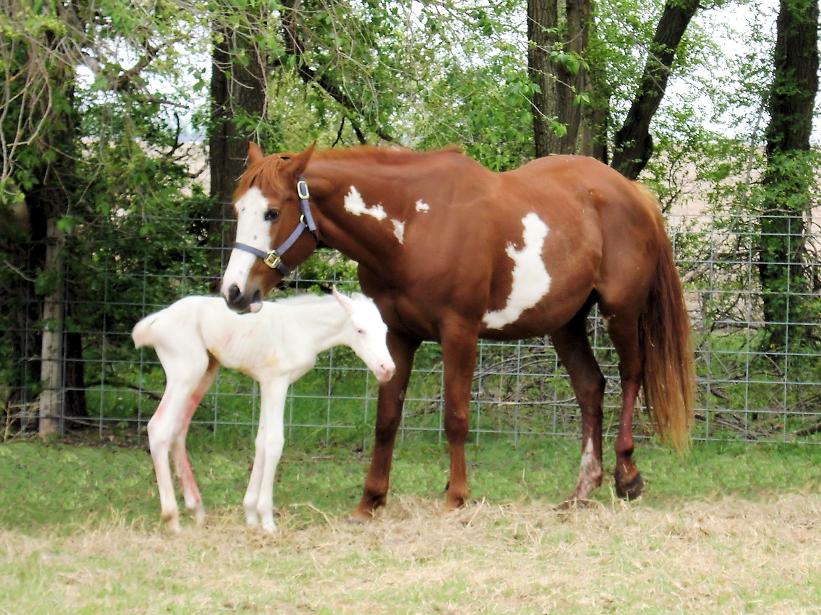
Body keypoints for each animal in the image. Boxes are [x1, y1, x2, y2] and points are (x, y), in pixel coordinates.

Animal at [132, 289, 396, 532]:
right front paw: (267, 520)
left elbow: (261, 441)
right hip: (185, 373)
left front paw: (251, 515)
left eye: (384, 330)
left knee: (178, 429)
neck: (302, 328)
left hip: (206, 372)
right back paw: (172, 519)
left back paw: (196, 509)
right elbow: (274, 442)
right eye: (360, 330)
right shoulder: (278, 381)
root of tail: (156, 321)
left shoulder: (266, 382)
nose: (387, 369)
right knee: (159, 427)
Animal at [219, 143, 695, 518]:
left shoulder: (459, 332)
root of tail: (632, 192)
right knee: (590, 389)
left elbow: (456, 417)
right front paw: (371, 500)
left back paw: (627, 476)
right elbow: (387, 419)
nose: (234, 292)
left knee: (631, 377)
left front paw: (456, 496)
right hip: (566, 323)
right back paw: (582, 490)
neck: (415, 223)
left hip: (621, 312)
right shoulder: (397, 334)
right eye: (238, 209)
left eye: (272, 212)